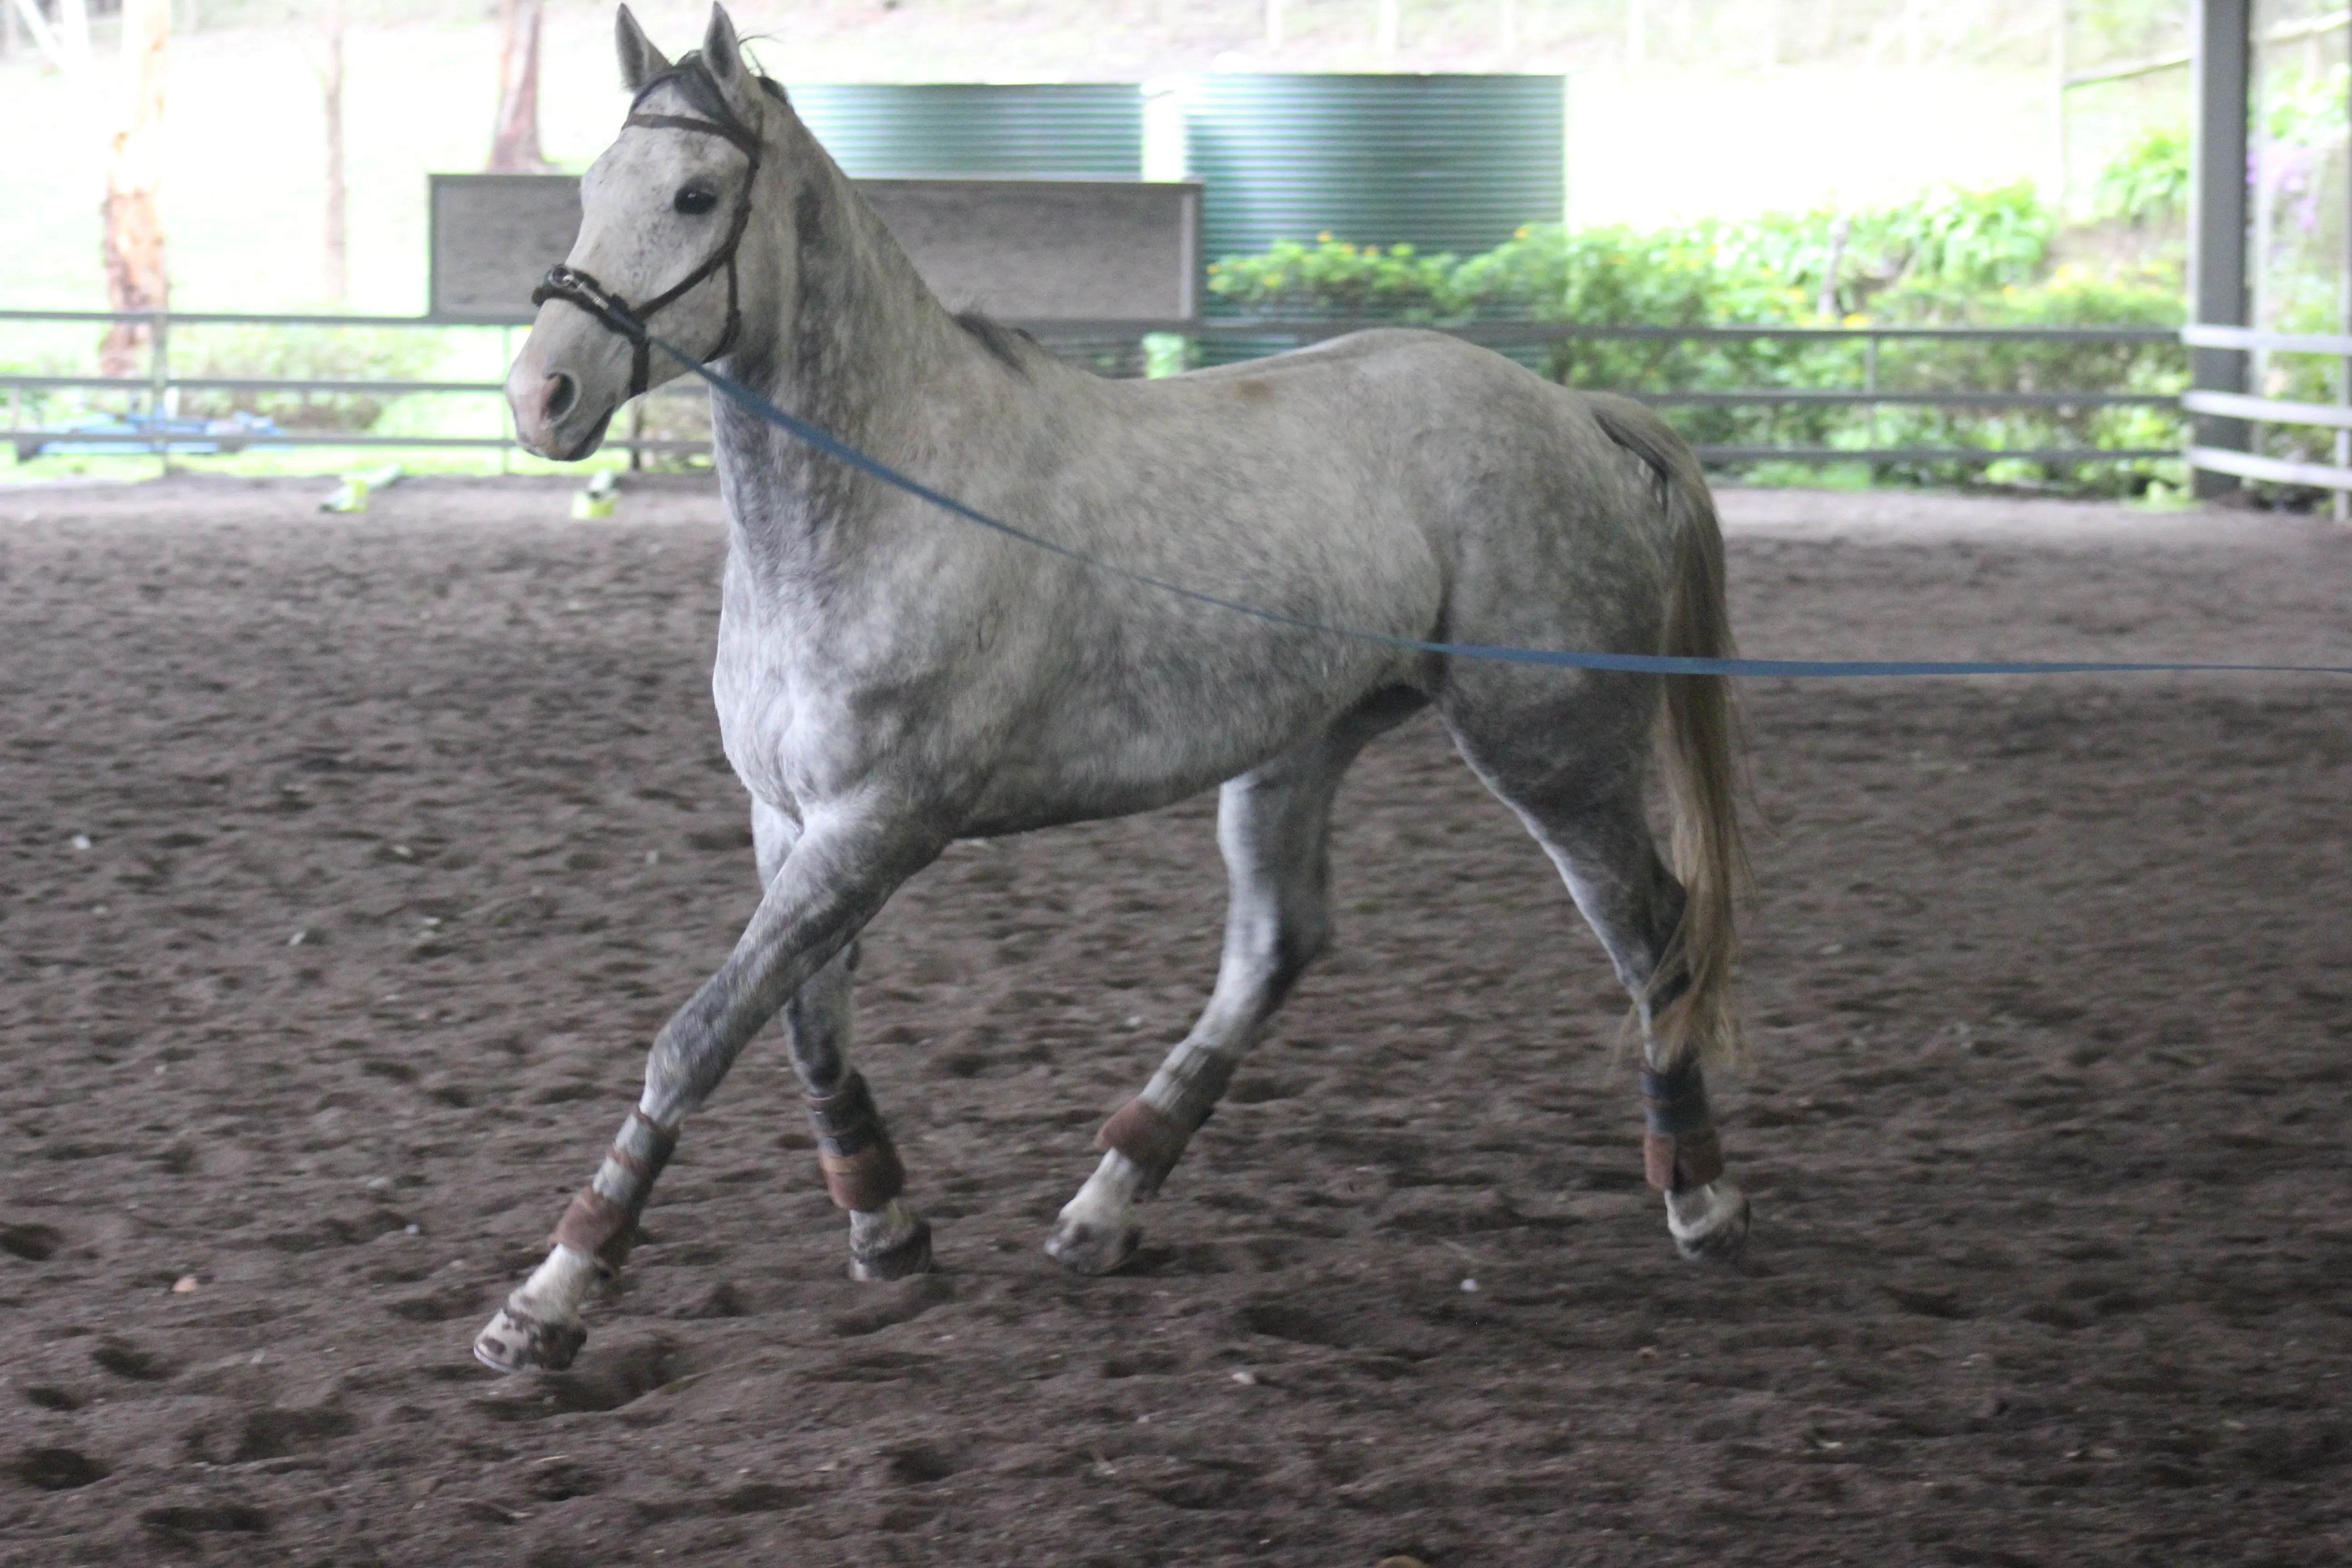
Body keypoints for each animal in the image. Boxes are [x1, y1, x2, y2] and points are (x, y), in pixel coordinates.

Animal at [472, 0, 1749, 1372]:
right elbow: (805, 1026)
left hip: (1554, 753)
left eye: (697, 195)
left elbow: (697, 1036)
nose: (541, 395)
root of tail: (1576, 412)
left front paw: (550, 1297)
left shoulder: (879, 827)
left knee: (1654, 933)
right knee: (1277, 946)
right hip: (1303, 745)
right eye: (591, 188)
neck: (885, 497)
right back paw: (1104, 1206)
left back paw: (1700, 1196)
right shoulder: (790, 821)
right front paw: (887, 1229)